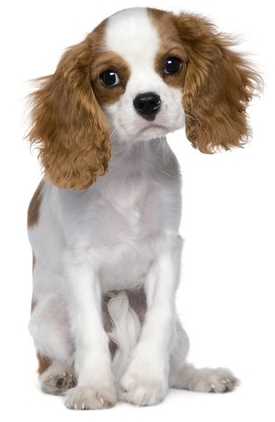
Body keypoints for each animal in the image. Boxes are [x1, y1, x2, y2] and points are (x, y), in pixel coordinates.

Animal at [28, 6, 260, 408]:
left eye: (172, 64)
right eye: (109, 77)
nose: (147, 101)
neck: (129, 167)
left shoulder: (166, 248)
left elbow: (159, 319)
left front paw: (147, 380)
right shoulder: (80, 260)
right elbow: (90, 331)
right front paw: (93, 388)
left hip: (179, 331)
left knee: (177, 361)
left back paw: (203, 377)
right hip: (48, 313)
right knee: (53, 358)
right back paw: (61, 377)